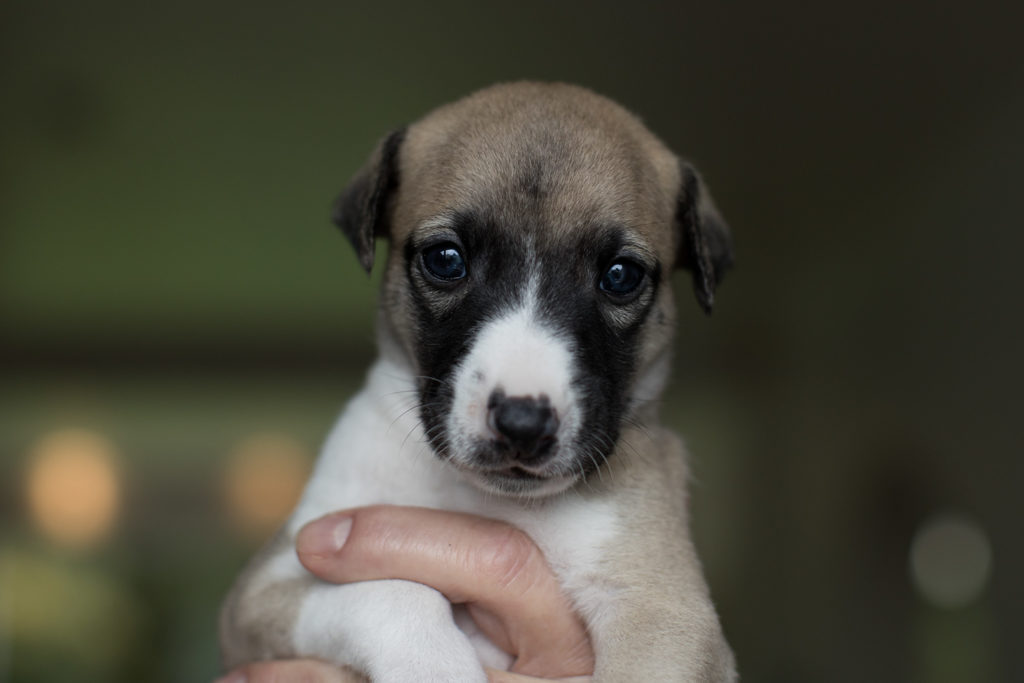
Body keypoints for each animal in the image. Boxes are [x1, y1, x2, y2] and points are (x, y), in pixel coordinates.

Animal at [222, 82, 737, 679]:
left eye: (621, 276)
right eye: (446, 259)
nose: (523, 424)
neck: (486, 499)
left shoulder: (665, 611)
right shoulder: (274, 580)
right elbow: (394, 591)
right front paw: (436, 666)